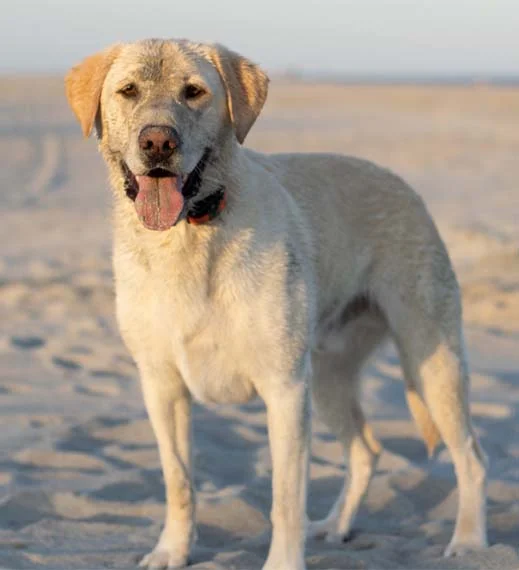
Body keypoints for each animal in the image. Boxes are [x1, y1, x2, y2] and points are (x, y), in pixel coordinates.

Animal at [65, 40, 488, 568]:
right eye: (127, 91)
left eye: (194, 92)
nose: (157, 143)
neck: (191, 236)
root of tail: (402, 183)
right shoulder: (161, 385)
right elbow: (178, 480)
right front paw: (172, 550)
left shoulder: (285, 389)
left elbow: (286, 498)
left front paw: (284, 560)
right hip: (328, 379)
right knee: (367, 450)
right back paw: (335, 526)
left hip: (430, 363)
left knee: (471, 458)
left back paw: (468, 541)